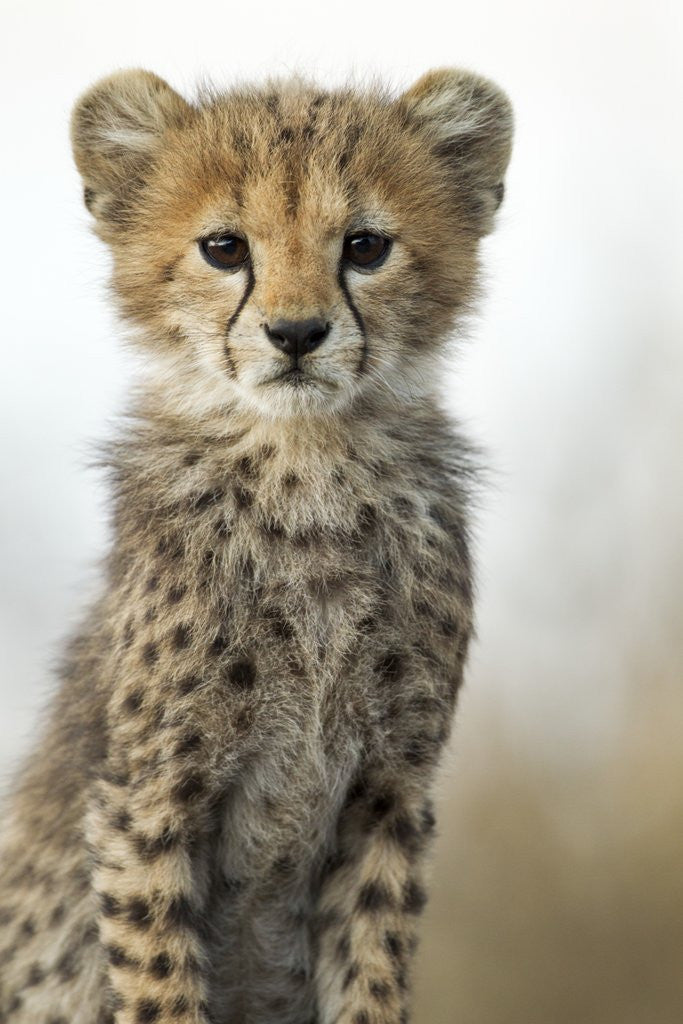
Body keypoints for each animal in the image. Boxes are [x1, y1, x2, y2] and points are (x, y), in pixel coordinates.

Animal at [0, 66, 513, 1024]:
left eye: (364, 246)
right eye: (224, 248)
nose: (297, 333)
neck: (303, 466)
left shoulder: (389, 794)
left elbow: (371, 974)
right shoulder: (144, 803)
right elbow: (161, 982)